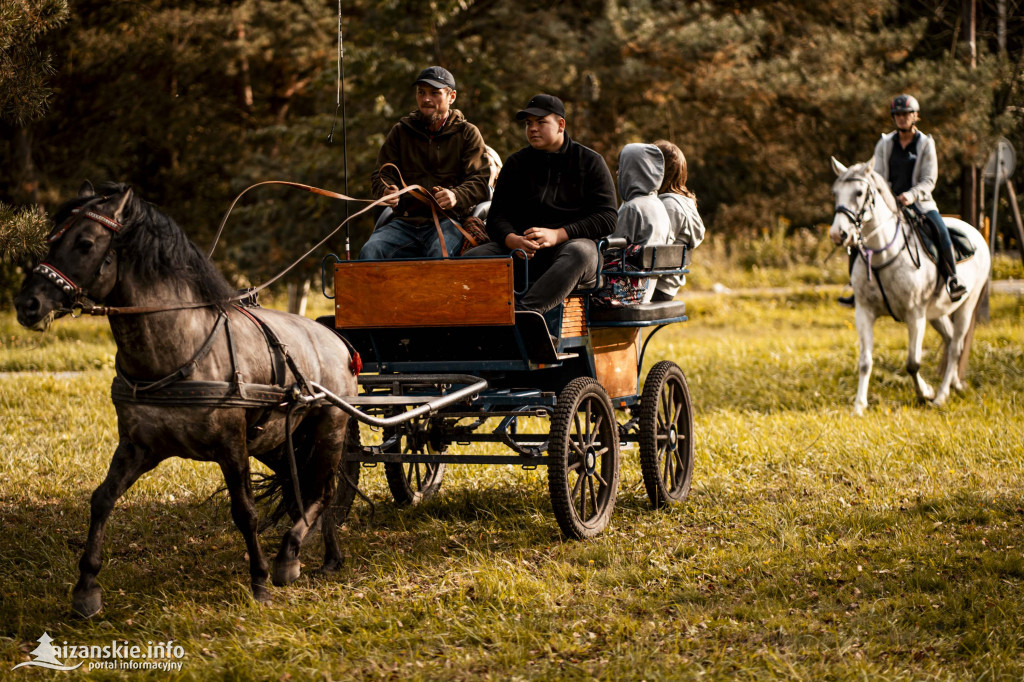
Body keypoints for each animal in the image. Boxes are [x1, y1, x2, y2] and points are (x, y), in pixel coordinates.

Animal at [14, 182, 360, 614]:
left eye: (85, 243)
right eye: (51, 239)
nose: (27, 304)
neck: (183, 348)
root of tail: (336, 339)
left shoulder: (232, 446)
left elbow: (244, 512)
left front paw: (260, 580)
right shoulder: (138, 446)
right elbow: (102, 499)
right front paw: (87, 587)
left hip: (330, 426)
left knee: (322, 491)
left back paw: (288, 557)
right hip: (281, 440)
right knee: (310, 490)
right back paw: (327, 558)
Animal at [831, 157, 991, 413]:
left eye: (859, 193)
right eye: (835, 193)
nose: (838, 234)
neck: (884, 255)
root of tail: (975, 232)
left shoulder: (915, 315)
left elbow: (913, 363)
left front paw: (925, 392)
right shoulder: (864, 312)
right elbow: (865, 361)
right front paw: (859, 405)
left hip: (967, 305)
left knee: (956, 346)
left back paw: (941, 395)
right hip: (936, 313)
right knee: (949, 341)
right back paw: (955, 383)